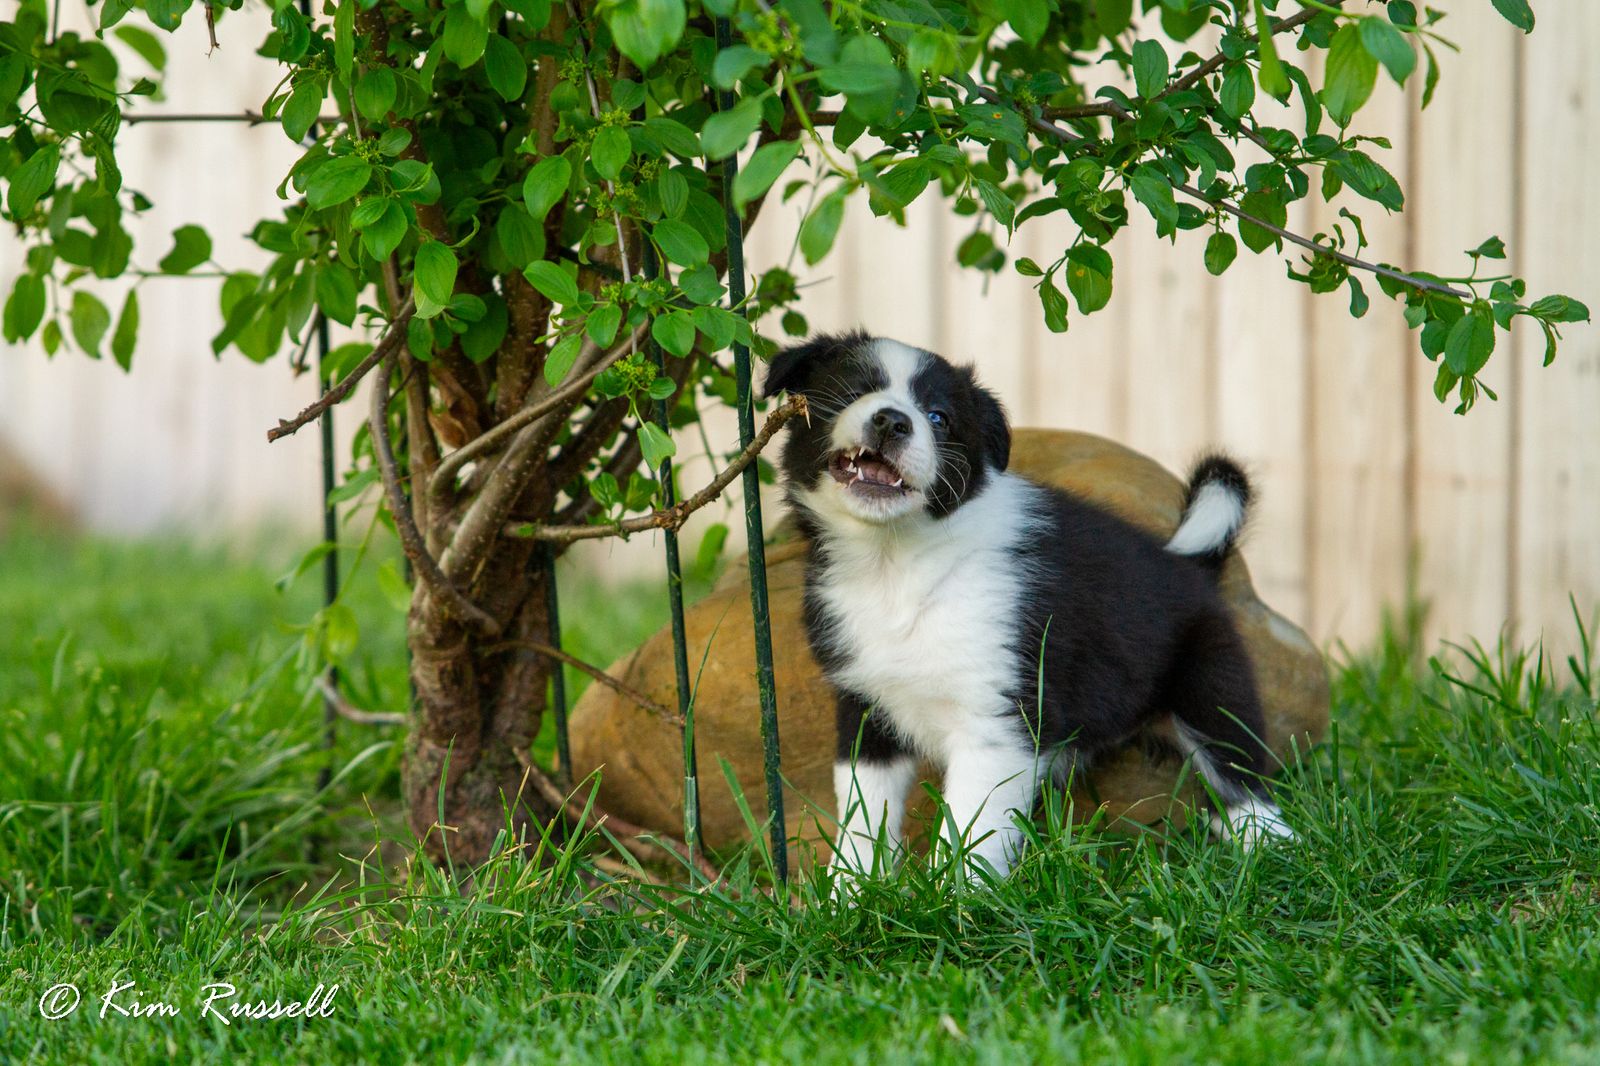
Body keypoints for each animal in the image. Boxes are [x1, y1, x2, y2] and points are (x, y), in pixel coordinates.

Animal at [764, 332, 1292, 882]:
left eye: (938, 417)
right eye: (853, 392)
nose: (891, 421)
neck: (897, 565)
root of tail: (1188, 564)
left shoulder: (998, 723)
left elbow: (969, 831)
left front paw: (955, 898)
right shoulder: (865, 709)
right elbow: (862, 816)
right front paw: (850, 892)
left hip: (1209, 689)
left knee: (1241, 782)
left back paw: (1275, 853)